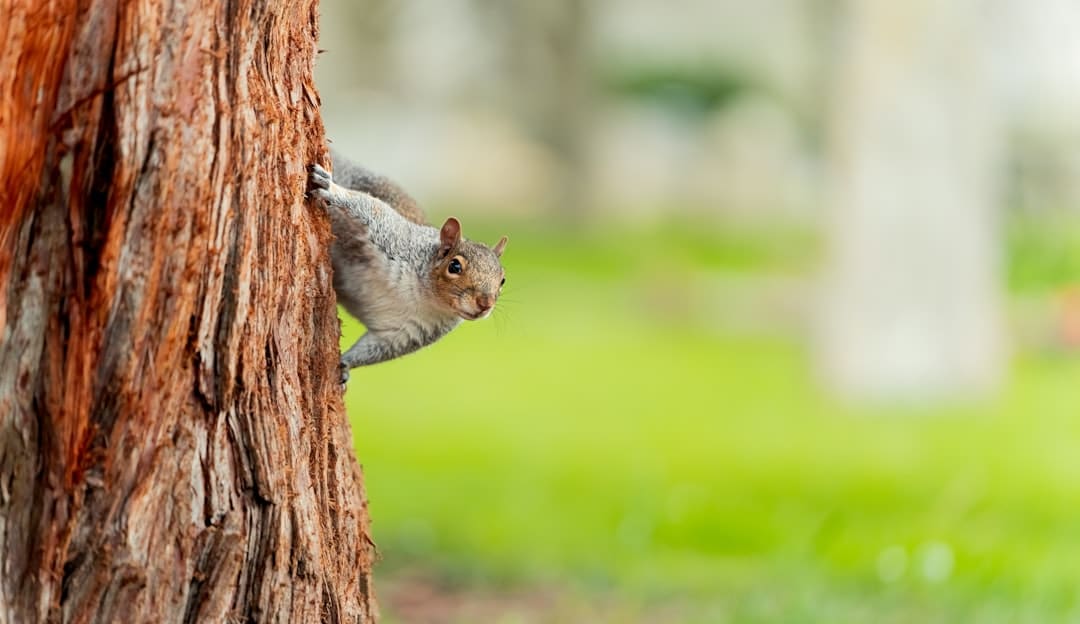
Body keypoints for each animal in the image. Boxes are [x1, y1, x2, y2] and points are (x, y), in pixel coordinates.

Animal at [304, 153, 505, 382]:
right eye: (454, 266)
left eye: (502, 280)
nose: (485, 304)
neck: (424, 296)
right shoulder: (396, 239)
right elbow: (371, 208)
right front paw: (332, 188)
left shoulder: (409, 332)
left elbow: (377, 348)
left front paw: (345, 365)